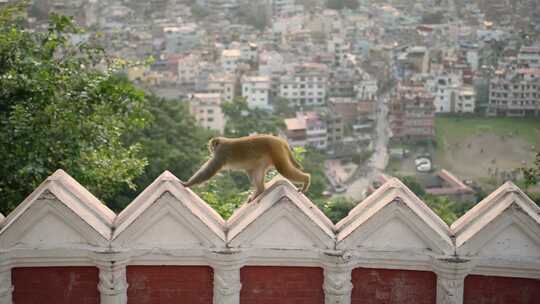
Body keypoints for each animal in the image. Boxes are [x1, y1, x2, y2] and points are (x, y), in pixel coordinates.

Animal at [181, 134, 310, 202]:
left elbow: (209, 171)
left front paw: (187, 183)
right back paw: (260, 190)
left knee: (283, 169)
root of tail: (280, 140)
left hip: (276, 150)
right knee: (254, 170)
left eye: (212, 146)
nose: (211, 150)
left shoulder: (221, 154)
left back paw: (306, 179)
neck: (222, 143)